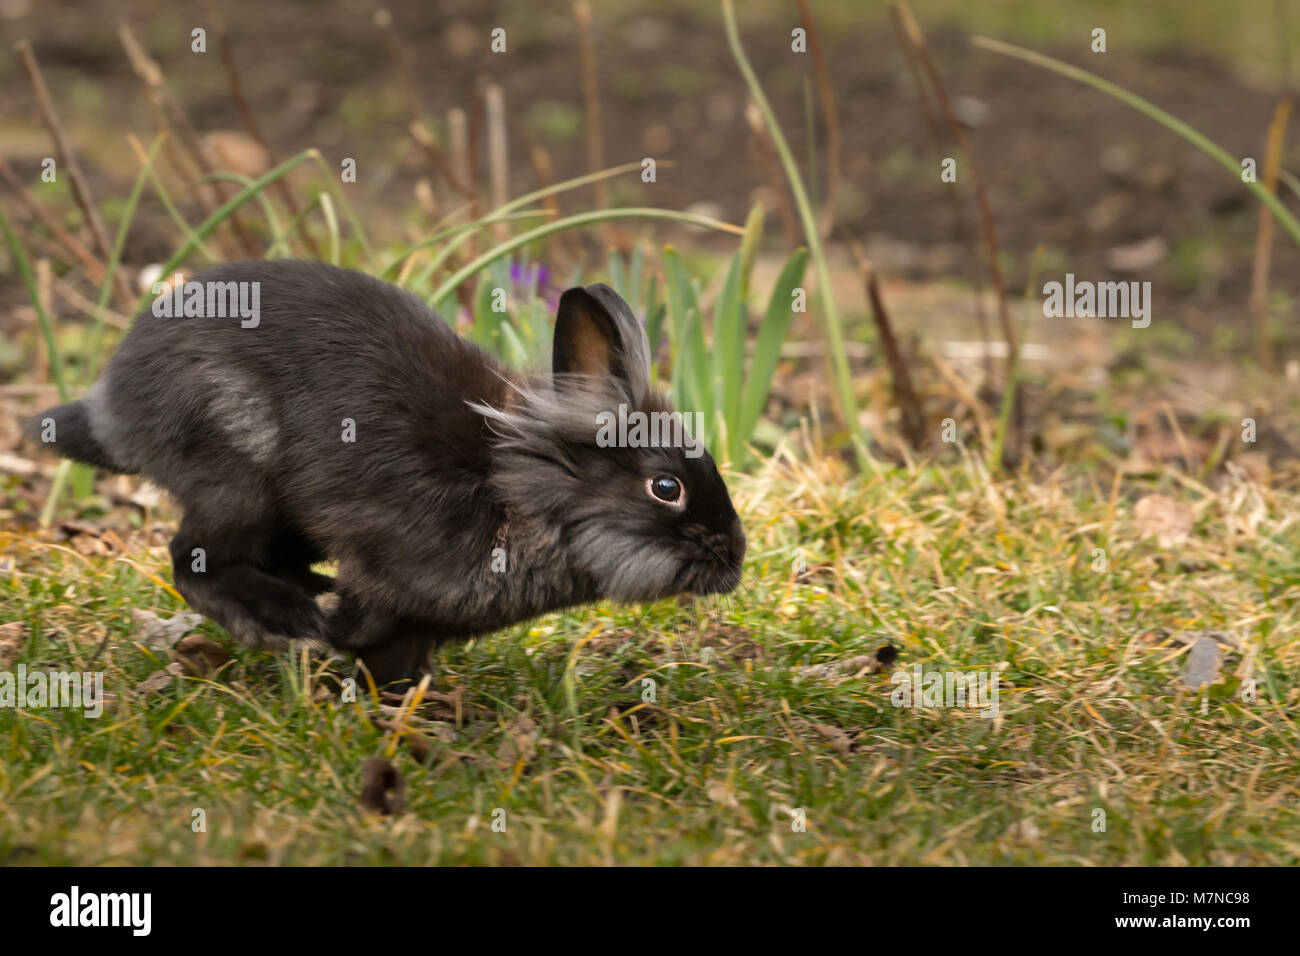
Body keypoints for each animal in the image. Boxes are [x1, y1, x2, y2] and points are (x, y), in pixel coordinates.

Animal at [29, 260, 746, 687]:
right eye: (666, 487)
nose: (734, 559)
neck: (521, 495)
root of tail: (111, 405)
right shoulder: (389, 584)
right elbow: (374, 640)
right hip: (235, 478)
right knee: (193, 559)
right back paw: (290, 619)